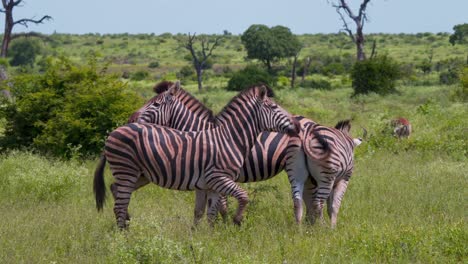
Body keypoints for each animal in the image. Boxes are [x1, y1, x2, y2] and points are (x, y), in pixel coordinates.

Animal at [93, 84, 296, 227]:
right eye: (274, 107)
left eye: (156, 104)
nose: (295, 124)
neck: (229, 138)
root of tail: (113, 133)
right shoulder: (217, 179)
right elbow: (237, 199)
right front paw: (234, 223)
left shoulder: (208, 183)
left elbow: (207, 212)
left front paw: (207, 237)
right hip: (130, 172)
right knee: (119, 202)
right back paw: (124, 237)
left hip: (137, 174)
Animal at [129, 82, 366, 227]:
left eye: (154, 104)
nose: (131, 118)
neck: (203, 131)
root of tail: (311, 123)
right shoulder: (206, 178)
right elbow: (202, 209)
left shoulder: (218, 177)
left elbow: (220, 205)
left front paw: (226, 225)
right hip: (307, 173)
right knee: (311, 200)